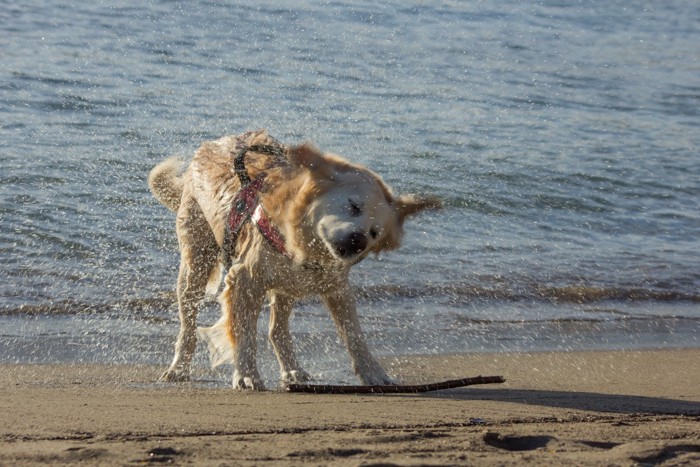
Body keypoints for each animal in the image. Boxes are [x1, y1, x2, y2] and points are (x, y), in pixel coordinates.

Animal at [150, 130, 440, 390]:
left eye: (375, 233)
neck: (303, 248)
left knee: (276, 329)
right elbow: (244, 334)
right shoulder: (245, 279)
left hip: (286, 285)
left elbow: (354, 335)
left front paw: (373, 372)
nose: (358, 241)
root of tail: (212, 144)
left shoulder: (337, 287)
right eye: (353, 205)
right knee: (188, 322)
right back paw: (178, 368)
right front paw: (246, 375)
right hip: (195, 260)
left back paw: (292, 370)